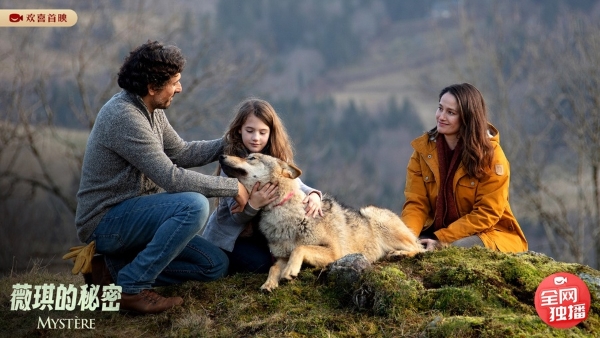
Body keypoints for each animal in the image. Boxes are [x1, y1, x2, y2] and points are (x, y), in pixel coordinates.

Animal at [219, 153, 422, 290]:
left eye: (251, 157)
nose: (221, 155)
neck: (282, 211)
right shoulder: (281, 256)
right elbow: (273, 267)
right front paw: (269, 284)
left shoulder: (334, 253)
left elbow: (300, 248)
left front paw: (289, 271)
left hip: (374, 215)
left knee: (420, 248)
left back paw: (399, 254)